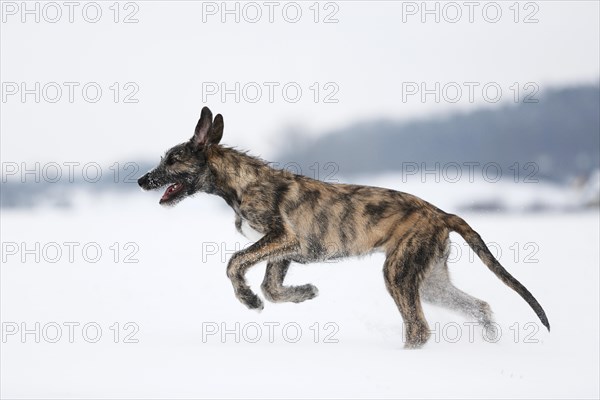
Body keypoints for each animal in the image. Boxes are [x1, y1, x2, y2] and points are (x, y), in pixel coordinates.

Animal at [138, 106, 552, 346]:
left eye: (172, 160)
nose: (142, 181)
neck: (240, 182)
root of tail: (441, 214)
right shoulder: (284, 249)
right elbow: (272, 287)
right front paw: (304, 293)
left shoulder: (281, 237)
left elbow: (234, 263)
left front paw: (248, 299)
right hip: (431, 279)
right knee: (479, 306)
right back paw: (490, 344)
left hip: (399, 273)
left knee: (418, 328)